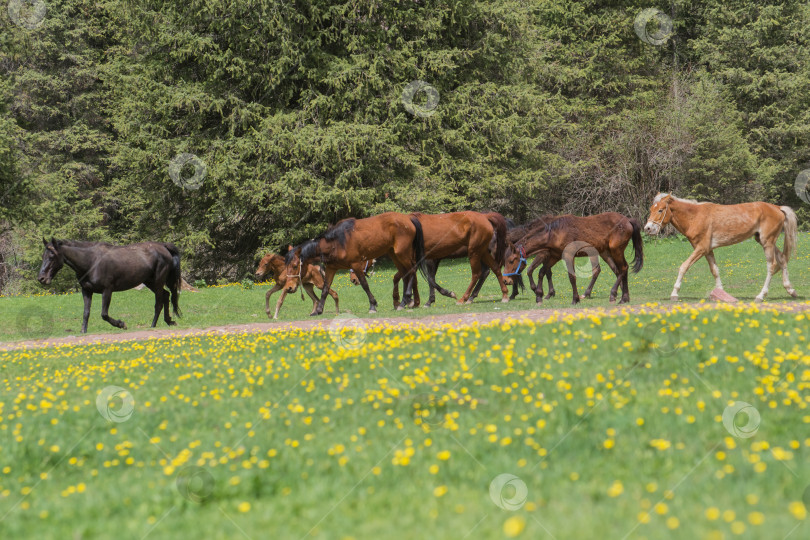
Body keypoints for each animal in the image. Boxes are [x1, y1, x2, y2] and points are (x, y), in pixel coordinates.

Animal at [37, 238, 180, 332]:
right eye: (43, 256)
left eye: (52, 255)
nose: (41, 278)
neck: (91, 261)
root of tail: (163, 246)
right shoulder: (86, 291)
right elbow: (86, 313)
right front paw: (83, 332)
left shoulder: (107, 290)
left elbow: (104, 314)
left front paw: (121, 324)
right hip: (150, 281)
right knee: (166, 296)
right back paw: (169, 321)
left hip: (158, 281)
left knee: (159, 302)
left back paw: (153, 325)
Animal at [282, 212, 432, 314]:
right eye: (286, 267)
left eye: (295, 266)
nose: (289, 287)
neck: (336, 242)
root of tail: (408, 218)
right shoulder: (331, 269)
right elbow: (325, 289)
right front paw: (319, 310)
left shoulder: (355, 265)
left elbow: (365, 285)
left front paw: (372, 305)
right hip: (394, 254)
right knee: (406, 273)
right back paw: (405, 302)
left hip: (402, 253)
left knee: (412, 270)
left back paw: (405, 300)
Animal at [502, 211, 640, 304]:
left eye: (511, 261)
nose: (506, 281)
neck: (555, 232)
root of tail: (628, 220)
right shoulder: (554, 256)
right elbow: (542, 272)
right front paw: (539, 295)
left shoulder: (568, 255)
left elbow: (571, 277)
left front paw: (575, 299)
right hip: (607, 253)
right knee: (619, 270)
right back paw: (624, 298)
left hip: (616, 251)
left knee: (623, 268)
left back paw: (614, 294)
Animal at [644, 194, 796, 304]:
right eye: (651, 209)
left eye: (660, 210)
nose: (647, 228)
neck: (695, 216)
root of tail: (777, 207)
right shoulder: (708, 250)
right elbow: (715, 270)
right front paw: (721, 293)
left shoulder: (701, 248)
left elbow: (683, 267)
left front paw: (674, 293)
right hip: (765, 241)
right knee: (782, 259)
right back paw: (791, 290)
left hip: (767, 242)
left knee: (771, 266)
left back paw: (760, 295)